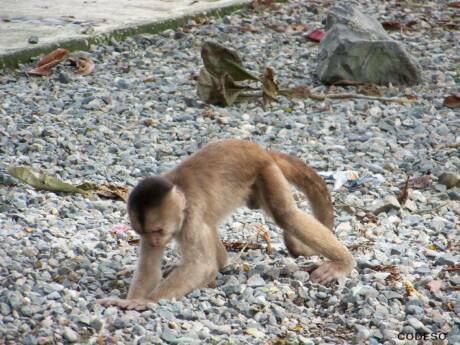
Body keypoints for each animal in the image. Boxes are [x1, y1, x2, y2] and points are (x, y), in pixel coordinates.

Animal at [97, 139, 354, 310]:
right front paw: (129, 300)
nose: (155, 241)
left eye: (158, 230)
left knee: (286, 215)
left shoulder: (191, 217)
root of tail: (258, 148)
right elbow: (149, 267)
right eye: (146, 233)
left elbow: (201, 265)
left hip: (266, 172)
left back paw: (343, 263)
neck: (181, 197)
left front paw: (144, 302)